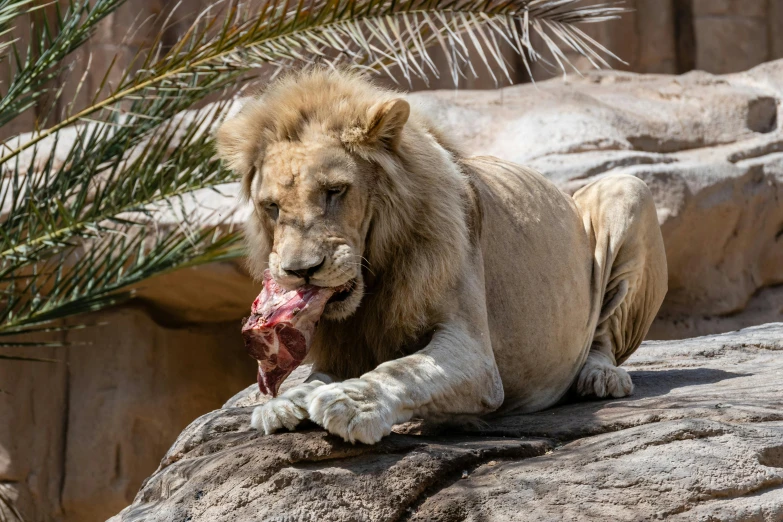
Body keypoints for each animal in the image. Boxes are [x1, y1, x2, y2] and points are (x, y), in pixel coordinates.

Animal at [214, 68, 668, 442]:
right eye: (272, 207)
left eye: (334, 191)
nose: (301, 271)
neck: (374, 276)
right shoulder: (347, 345)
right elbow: (314, 377)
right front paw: (283, 402)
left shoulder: (477, 356)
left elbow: (403, 370)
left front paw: (352, 403)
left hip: (629, 190)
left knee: (605, 332)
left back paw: (600, 376)